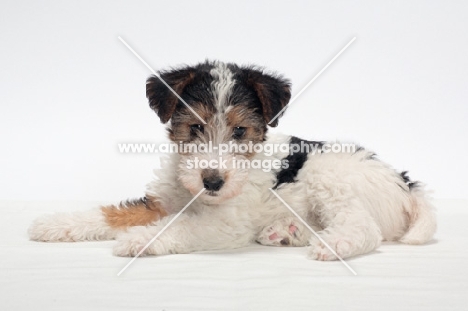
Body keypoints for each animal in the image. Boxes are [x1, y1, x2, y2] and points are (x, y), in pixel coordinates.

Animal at [28, 60, 436, 260]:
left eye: (240, 131)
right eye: (194, 127)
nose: (212, 182)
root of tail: (407, 184)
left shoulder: (224, 224)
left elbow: (180, 227)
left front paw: (139, 239)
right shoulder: (162, 201)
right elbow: (113, 212)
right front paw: (53, 225)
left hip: (330, 176)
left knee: (365, 228)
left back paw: (333, 246)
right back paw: (285, 233)